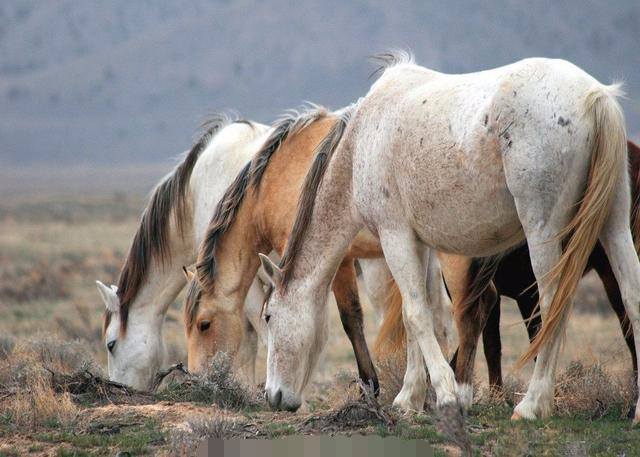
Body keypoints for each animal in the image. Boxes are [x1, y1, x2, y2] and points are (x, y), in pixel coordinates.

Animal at [258, 50, 636, 420]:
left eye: (269, 316)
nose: (273, 396)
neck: (362, 139)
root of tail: (595, 96)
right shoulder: (419, 244)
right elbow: (417, 314)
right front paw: (410, 398)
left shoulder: (394, 236)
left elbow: (417, 314)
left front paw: (446, 393)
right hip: (614, 226)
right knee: (632, 297)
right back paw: (636, 412)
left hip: (542, 230)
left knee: (552, 304)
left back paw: (532, 405)